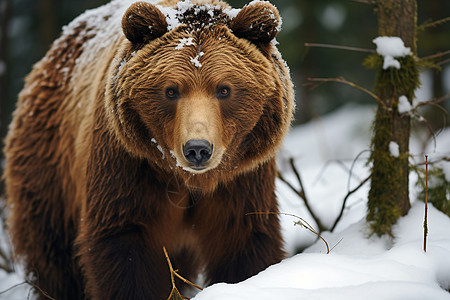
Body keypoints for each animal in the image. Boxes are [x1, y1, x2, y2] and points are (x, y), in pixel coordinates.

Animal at [3, 0, 296, 298]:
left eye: (224, 89)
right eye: (171, 90)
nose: (197, 149)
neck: (189, 180)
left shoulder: (242, 180)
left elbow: (244, 241)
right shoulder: (129, 166)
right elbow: (123, 246)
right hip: (50, 164)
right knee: (54, 252)